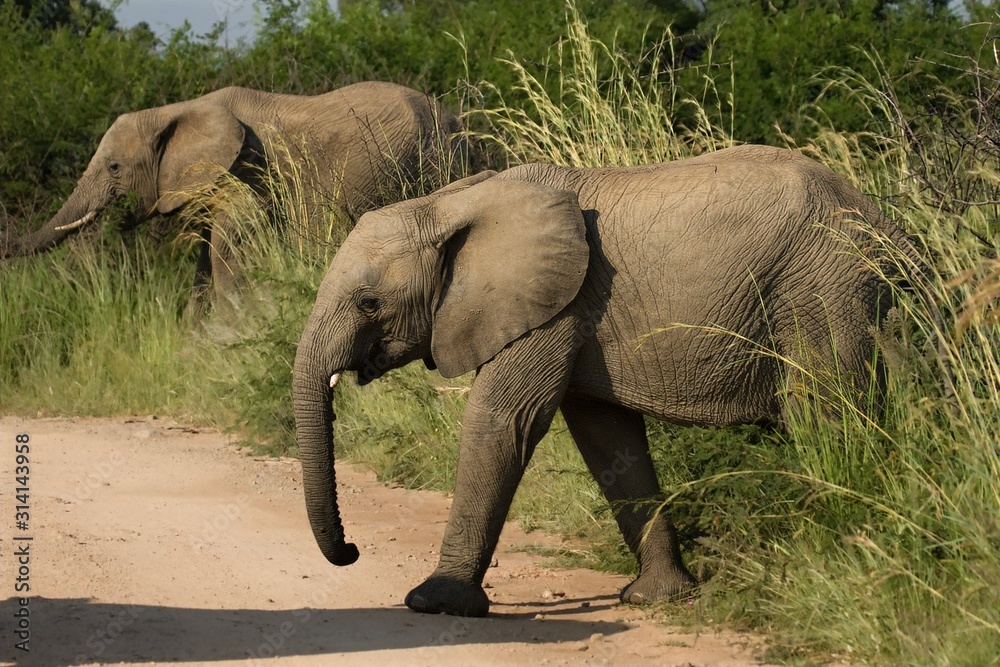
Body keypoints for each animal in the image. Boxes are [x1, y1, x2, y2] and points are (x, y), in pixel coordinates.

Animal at [2, 81, 475, 311]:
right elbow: (204, 265)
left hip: (436, 160)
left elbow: (226, 257)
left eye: (115, 167)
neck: (177, 108)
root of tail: (456, 119)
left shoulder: (247, 173)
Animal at [292, 144, 927, 617]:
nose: (352, 551)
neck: (453, 203)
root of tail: (895, 231)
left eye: (369, 302)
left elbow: (503, 420)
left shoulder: (559, 306)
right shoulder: (577, 317)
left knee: (825, 415)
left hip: (827, 293)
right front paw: (656, 598)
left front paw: (434, 602)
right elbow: (606, 438)